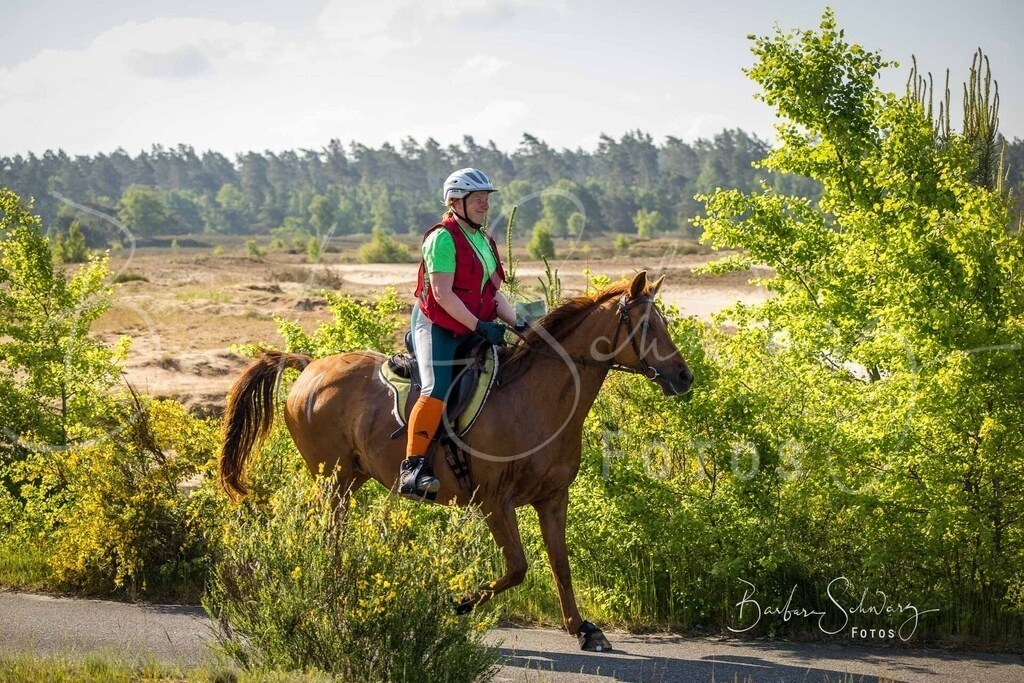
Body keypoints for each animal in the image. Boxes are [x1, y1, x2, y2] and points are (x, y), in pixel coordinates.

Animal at [219, 270, 693, 651]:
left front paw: (583, 629)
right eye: (648, 325)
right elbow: (518, 568)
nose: (685, 377)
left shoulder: (553, 499)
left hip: (350, 477)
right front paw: (457, 601)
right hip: (330, 476)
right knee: (325, 532)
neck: (537, 402)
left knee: (333, 532)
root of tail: (310, 367)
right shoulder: (494, 502)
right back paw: (331, 596)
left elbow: (560, 564)